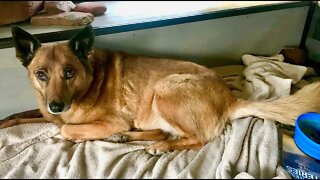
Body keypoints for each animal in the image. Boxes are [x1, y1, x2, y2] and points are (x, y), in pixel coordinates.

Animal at [4, 25, 320, 155]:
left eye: (69, 73)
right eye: (41, 74)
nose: (56, 106)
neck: (88, 80)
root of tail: (230, 98)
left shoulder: (109, 120)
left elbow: (67, 129)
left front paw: (67, 128)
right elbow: (20, 116)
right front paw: (7, 121)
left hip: (165, 88)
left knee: (197, 138)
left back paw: (159, 147)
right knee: (164, 131)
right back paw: (130, 138)